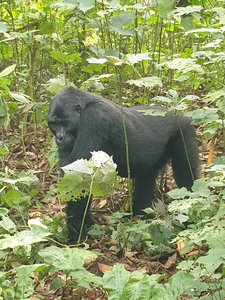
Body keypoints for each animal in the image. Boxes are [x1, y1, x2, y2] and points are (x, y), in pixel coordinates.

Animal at [47, 85, 199, 243]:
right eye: (54, 124)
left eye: (63, 123)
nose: (59, 138)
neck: (84, 106)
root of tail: (180, 114)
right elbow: (72, 176)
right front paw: (86, 225)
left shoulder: (94, 118)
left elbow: (79, 177)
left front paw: (76, 235)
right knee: (146, 178)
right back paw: (140, 213)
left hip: (184, 130)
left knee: (185, 175)